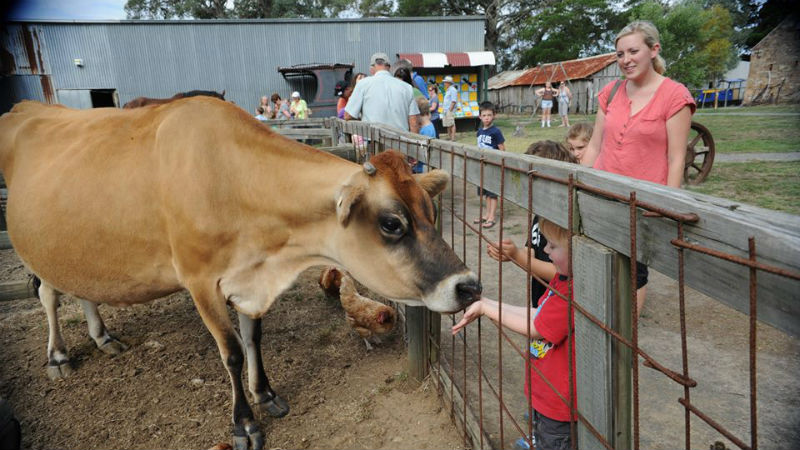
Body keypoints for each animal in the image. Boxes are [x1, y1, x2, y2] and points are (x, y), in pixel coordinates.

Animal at [0, 96, 482, 448]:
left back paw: (103, 337)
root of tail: (23, 107)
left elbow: (253, 338)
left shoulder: (250, 277)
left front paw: (265, 393)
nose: (469, 286)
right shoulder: (200, 281)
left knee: (82, 288)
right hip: (32, 245)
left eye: (431, 212)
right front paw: (244, 423)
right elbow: (231, 351)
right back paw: (58, 356)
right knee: (48, 295)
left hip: (75, 247)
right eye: (392, 223)